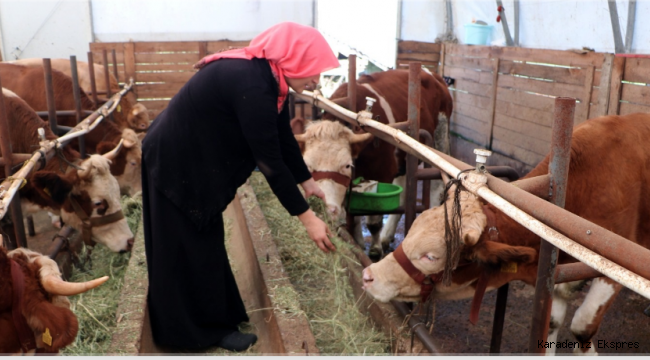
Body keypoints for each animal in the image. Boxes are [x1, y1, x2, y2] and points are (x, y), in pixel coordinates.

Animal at [296, 68, 454, 258]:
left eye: (347, 165)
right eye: (308, 165)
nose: (326, 208)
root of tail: (433, 74)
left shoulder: (383, 172)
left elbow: (373, 221)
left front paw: (375, 251)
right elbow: (354, 217)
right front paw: (359, 243)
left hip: (439, 141)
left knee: (436, 185)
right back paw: (387, 236)